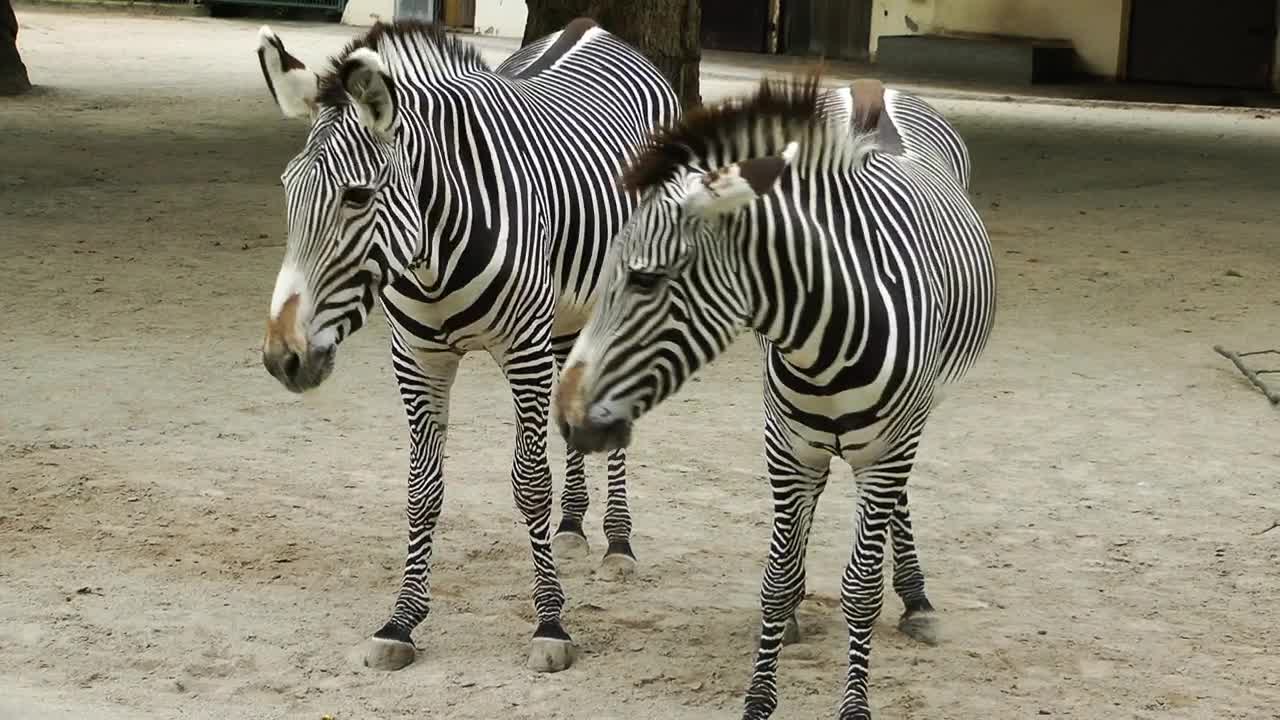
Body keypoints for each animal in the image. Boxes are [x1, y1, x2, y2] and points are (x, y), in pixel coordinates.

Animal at [255, 18, 680, 673]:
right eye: (286, 189)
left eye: (357, 196)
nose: (284, 358)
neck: (432, 252)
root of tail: (594, 28)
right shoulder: (418, 359)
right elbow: (422, 489)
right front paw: (401, 621)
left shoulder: (524, 351)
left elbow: (529, 484)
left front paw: (550, 622)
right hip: (568, 315)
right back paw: (573, 527)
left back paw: (618, 542)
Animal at [554, 74, 996, 719]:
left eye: (645, 279)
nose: (566, 416)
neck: (825, 336)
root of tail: (873, 88)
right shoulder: (785, 448)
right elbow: (777, 575)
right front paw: (761, 693)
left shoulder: (884, 454)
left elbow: (860, 588)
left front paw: (855, 705)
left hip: (910, 422)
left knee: (897, 501)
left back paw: (916, 599)